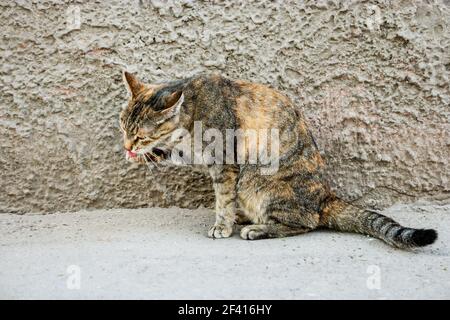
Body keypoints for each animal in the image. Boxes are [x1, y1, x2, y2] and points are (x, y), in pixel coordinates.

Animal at [118, 71, 436, 249]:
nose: (127, 145)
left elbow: (223, 199)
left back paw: (256, 228)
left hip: (257, 183)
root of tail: (325, 196)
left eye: (141, 136)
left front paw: (222, 225)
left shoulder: (225, 164)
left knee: (306, 223)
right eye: (122, 127)